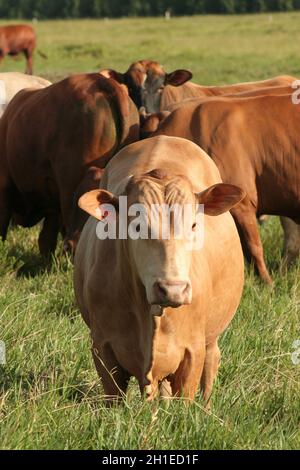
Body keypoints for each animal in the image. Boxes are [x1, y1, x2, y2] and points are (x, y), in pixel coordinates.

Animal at [74, 135, 245, 404]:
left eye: (194, 225)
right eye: (136, 226)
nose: (173, 289)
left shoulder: (192, 349)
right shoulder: (102, 346)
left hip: (211, 338)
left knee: (210, 366)